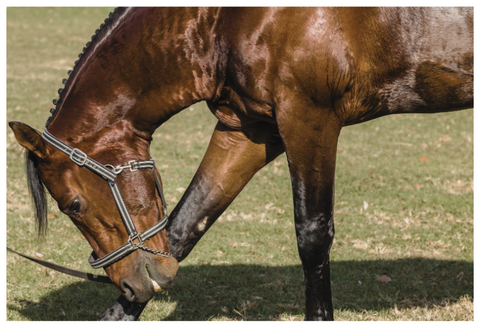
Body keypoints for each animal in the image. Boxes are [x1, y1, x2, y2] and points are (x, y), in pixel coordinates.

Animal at [8, 6, 472, 322]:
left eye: (73, 205)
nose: (131, 283)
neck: (223, 21)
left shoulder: (309, 119)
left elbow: (313, 236)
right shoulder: (247, 129)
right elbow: (186, 225)